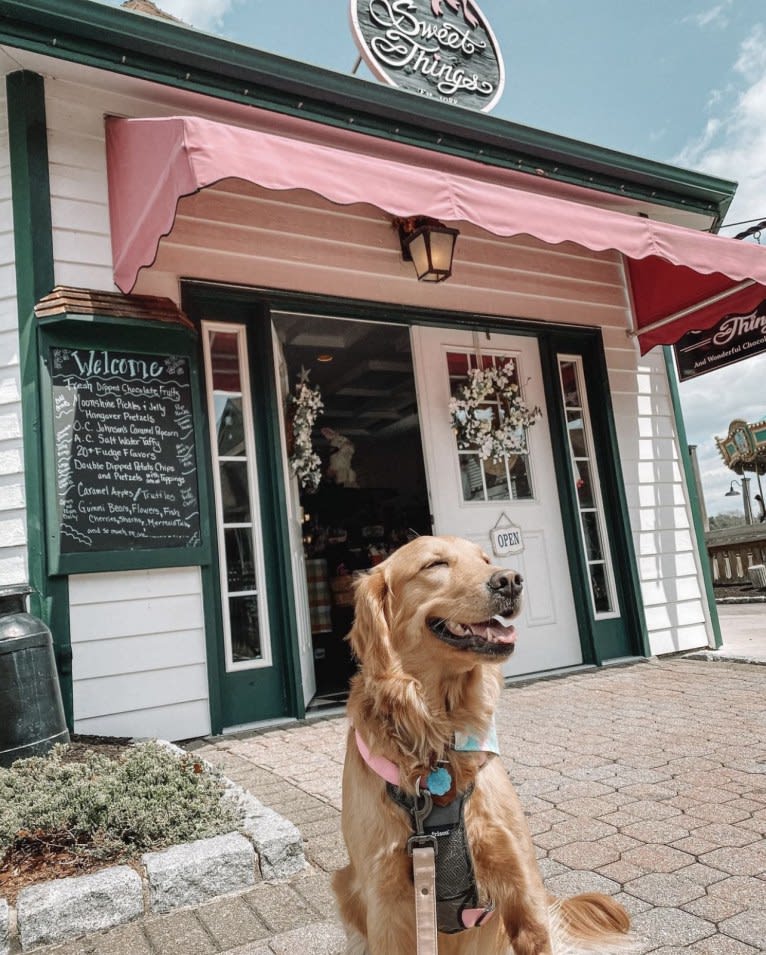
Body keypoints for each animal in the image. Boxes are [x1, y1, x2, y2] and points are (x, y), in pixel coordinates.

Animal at [332, 536, 632, 955]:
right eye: (435, 564)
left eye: (485, 559)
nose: (510, 581)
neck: (437, 745)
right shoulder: (386, 904)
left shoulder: (522, 887)